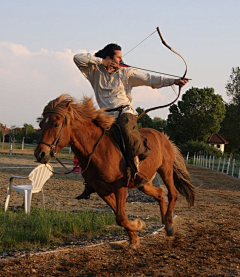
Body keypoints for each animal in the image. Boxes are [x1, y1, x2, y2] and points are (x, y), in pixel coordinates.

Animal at [34, 93, 195, 248]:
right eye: (41, 124)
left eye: (56, 124)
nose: (40, 154)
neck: (98, 150)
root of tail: (164, 137)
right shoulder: (102, 191)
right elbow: (119, 217)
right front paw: (134, 238)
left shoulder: (120, 186)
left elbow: (121, 217)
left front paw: (138, 225)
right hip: (144, 183)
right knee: (160, 193)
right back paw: (166, 223)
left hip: (166, 170)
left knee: (173, 193)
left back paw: (169, 224)